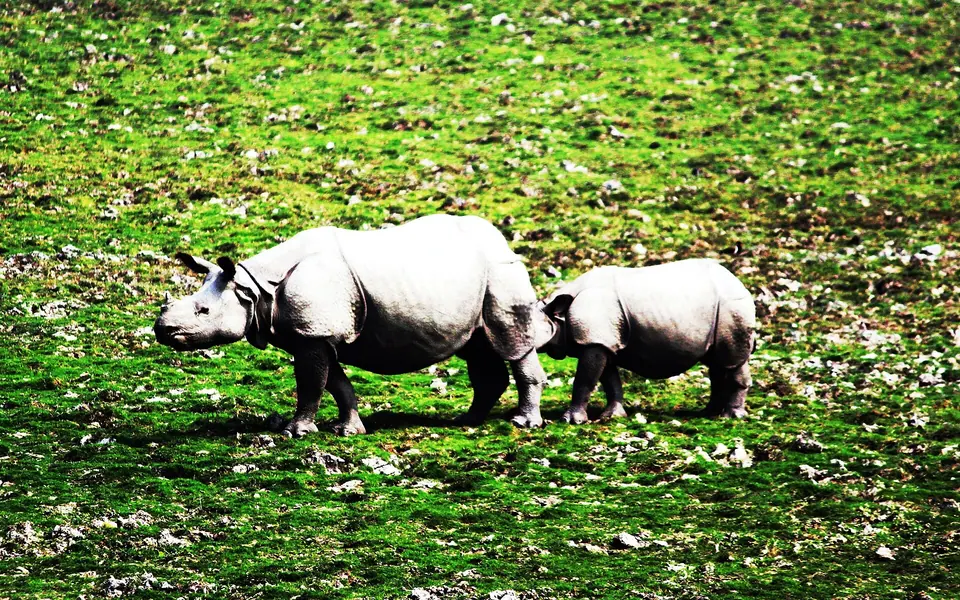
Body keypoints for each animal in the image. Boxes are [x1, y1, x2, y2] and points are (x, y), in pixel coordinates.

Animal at [154, 214, 547, 436]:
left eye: (203, 311)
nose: (161, 330)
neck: (254, 289)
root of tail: (501, 239)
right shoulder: (312, 334)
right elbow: (335, 383)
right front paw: (348, 430)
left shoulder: (313, 333)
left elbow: (311, 383)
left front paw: (296, 432)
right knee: (478, 346)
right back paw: (468, 421)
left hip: (501, 270)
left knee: (512, 341)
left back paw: (523, 423)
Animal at [535, 259, 756, 423]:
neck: (559, 316)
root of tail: (737, 280)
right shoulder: (604, 341)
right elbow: (610, 380)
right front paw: (612, 416)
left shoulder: (594, 340)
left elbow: (584, 379)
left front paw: (571, 420)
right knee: (716, 362)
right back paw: (708, 413)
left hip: (731, 305)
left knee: (733, 360)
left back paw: (731, 417)